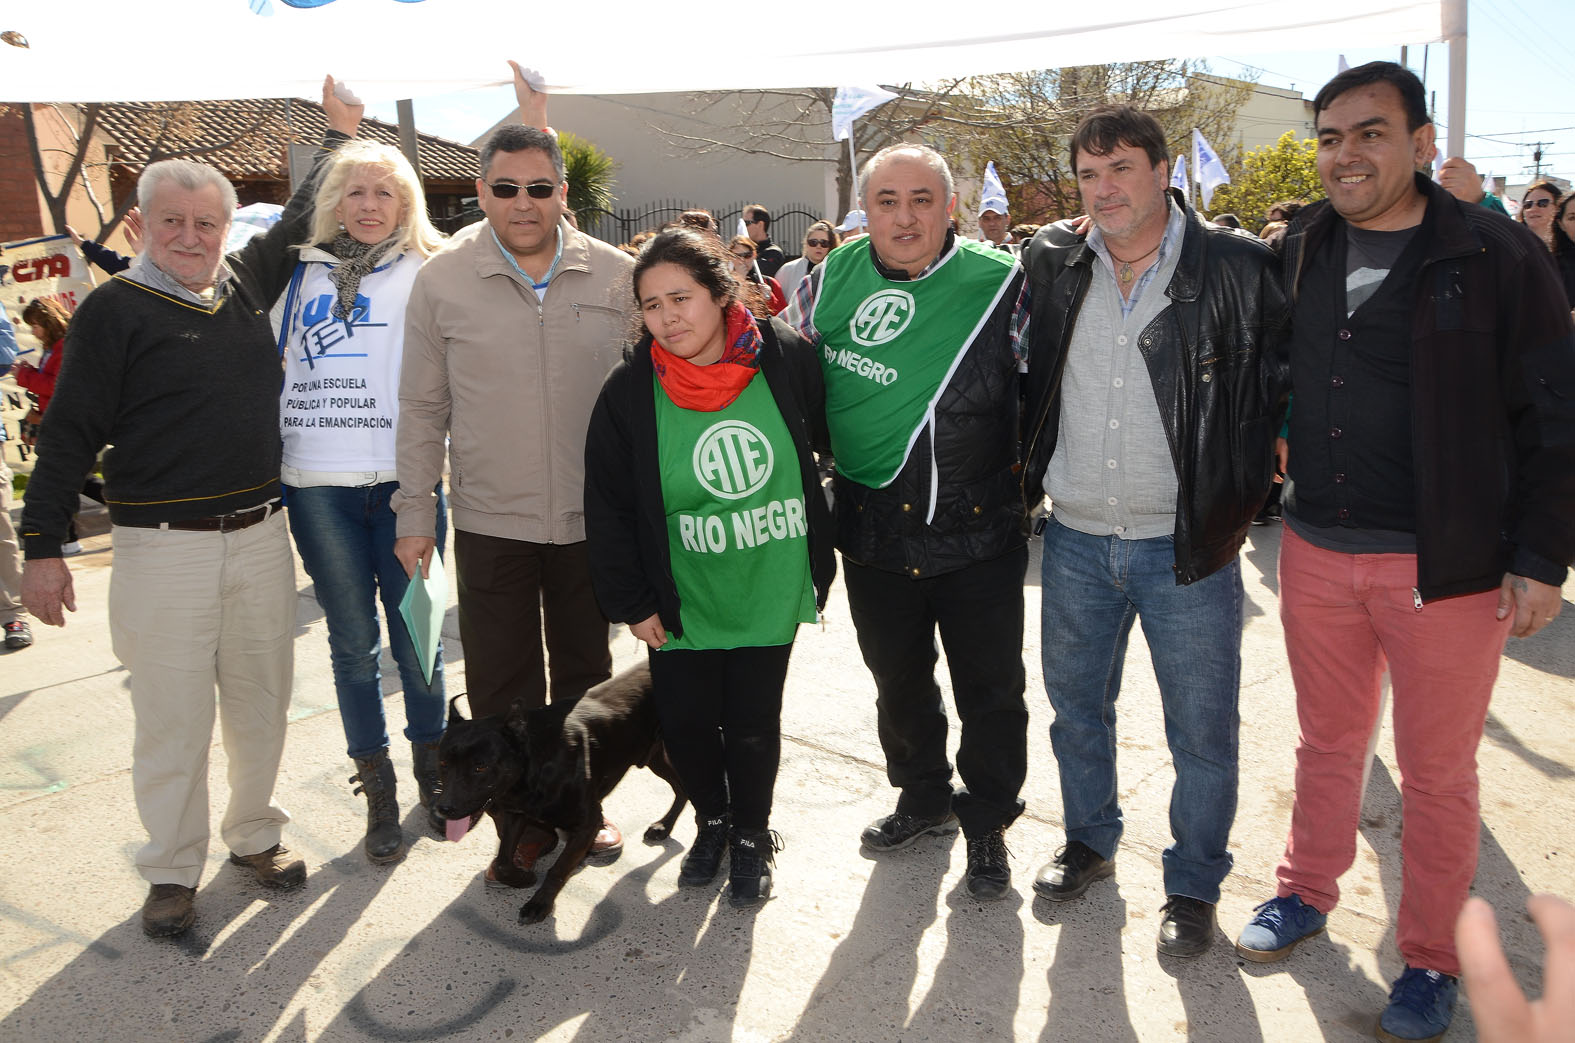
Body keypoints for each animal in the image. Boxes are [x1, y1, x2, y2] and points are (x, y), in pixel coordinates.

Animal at [435, 661, 687, 924]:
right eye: (443, 763)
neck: (537, 765)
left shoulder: (587, 824)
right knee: (681, 789)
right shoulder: (517, 813)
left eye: (480, 767)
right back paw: (664, 826)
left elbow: (557, 869)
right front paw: (522, 879)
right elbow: (503, 861)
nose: (443, 809)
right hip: (655, 757)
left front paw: (540, 904)